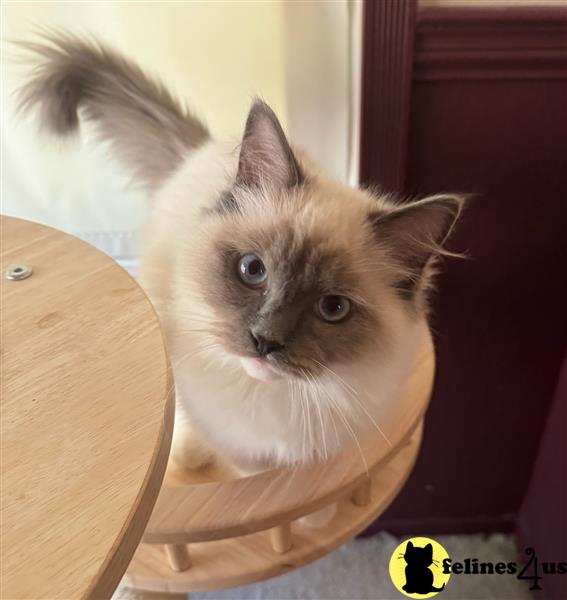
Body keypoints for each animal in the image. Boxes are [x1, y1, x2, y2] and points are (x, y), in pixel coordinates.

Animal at [18, 32, 466, 474]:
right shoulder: (240, 453)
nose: (265, 341)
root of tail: (203, 148)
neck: (276, 402)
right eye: (252, 270)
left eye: (333, 308)